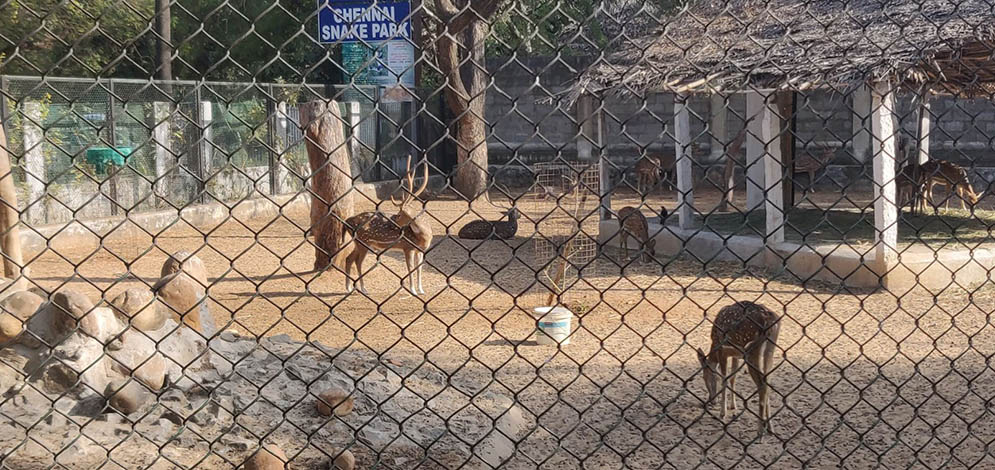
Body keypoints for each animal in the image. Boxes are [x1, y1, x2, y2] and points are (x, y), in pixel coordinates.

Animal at [342, 156, 432, 296]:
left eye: (399, 214)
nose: (392, 222)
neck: (424, 237)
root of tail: (347, 221)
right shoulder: (408, 247)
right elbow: (410, 268)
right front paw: (413, 291)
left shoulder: (421, 250)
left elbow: (419, 268)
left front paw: (421, 290)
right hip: (363, 241)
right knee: (357, 261)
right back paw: (363, 289)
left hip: (359, 242)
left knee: (349, 259)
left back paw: (350, 288)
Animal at [696, 302, 784, 436]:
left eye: (704, 377)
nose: (711, 400)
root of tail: (770, 319)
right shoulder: (736, 355)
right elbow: (733, 377)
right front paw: (733, 407)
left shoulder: (723, 350)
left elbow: (725, 378)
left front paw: (722, 413)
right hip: (770, 348)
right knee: (767, 381)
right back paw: (770, 427)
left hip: (752, 349)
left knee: (762, 385)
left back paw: (760, 431)